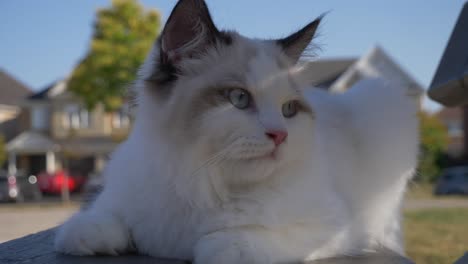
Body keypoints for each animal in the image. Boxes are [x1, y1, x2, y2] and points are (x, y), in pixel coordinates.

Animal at [55, 1, 420, 262]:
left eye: (289, 110)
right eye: (239, 99)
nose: (280, 135)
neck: (198, 179)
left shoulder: (337, 227)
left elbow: (231, 245)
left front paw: (210, 245)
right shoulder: (120, 199)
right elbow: (94, 224)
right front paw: (94, 234)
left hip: (382, 101)